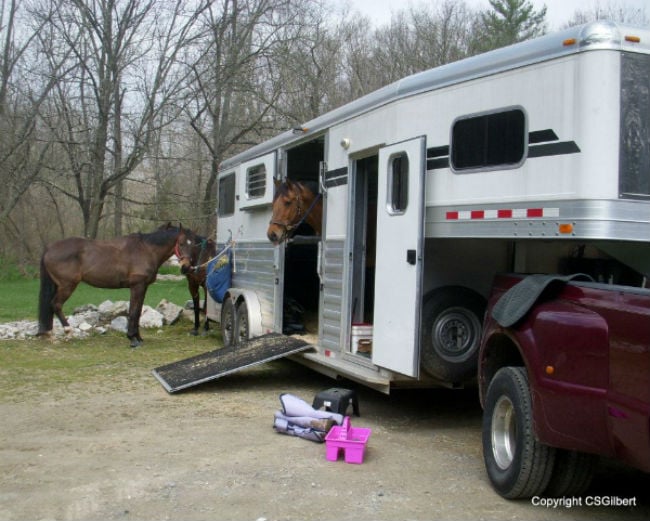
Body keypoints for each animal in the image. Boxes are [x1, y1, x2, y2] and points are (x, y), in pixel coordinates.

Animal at [38, 222, 191, 348]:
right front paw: (132, 339)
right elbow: (133, 312)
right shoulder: (137, 286)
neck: (146, 249)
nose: (186, 267)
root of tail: (49, 248)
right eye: (181, 243)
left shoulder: (143, 287)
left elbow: (138, 311)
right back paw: (68, 331)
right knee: (56, 304)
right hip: (67, 286)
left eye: (192, 243)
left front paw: (138, 338)